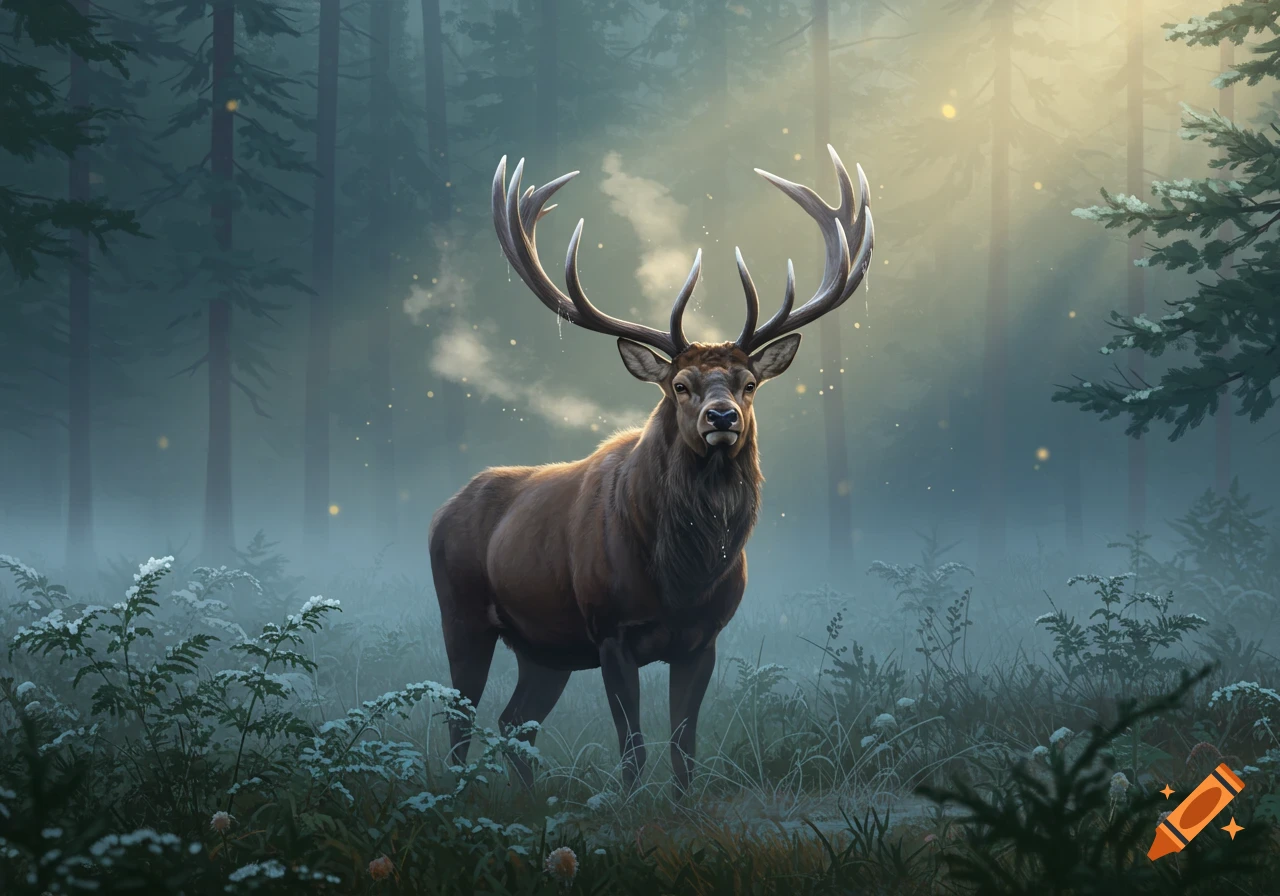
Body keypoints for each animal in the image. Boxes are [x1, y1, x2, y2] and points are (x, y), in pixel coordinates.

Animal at [429, 145, 873, 795]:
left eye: (749, 384)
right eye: (680, 384)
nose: (722, 417)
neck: (679, 581)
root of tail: (442, 510)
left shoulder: (703, 638)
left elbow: (684, 745)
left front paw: (683, 805)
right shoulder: (611, 630)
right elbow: (633, 747)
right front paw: (632, 804)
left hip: (545, 646)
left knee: (515, 722)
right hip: (461, 612)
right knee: (458, 718)